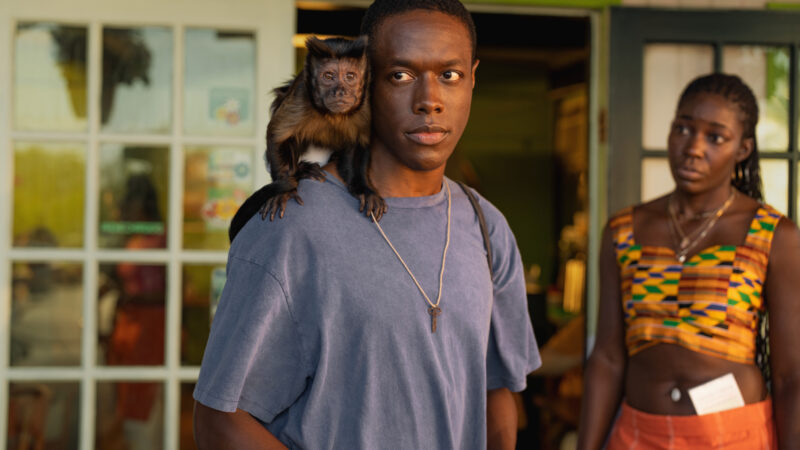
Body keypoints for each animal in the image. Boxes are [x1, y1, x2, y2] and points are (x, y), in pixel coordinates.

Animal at [228, 35, 385, 243]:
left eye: (350, 76)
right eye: (329, 76)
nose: (340, 91)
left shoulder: (365, 102)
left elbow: (360, 142)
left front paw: (363, 189)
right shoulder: (301, 94)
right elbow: (277, 135)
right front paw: (285, 190)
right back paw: (302, 170)